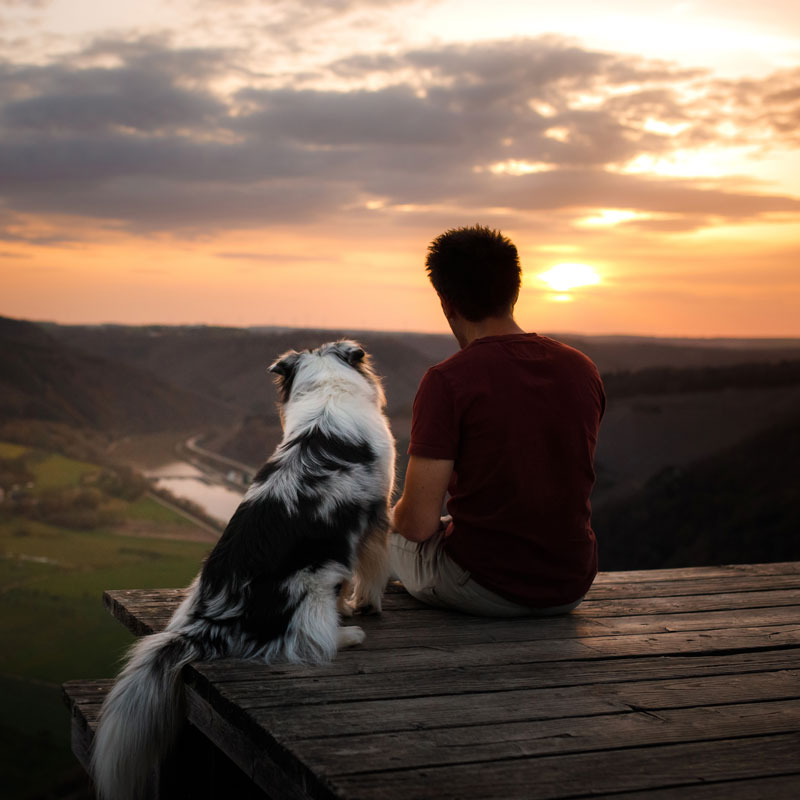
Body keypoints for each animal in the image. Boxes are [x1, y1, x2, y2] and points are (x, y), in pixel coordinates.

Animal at [91, 340, 396, 800]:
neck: (329, 390)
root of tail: (210, 622)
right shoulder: (375, 520)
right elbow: (369, 575)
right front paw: (365, 607)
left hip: (195, 587)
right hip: (314, 582)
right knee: (310, 639)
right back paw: (349, 635)